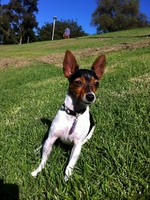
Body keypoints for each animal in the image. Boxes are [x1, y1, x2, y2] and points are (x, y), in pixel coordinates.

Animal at [31, 49, 106, 181]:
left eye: (96, 83)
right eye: (78, 82)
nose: (91, 96)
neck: (74, 114)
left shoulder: (76, 146)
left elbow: (70, 165)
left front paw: (67, 178)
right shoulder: (51, 139)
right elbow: (43, 160)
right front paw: (37, 171)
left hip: (88, 136)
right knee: (44, 142)